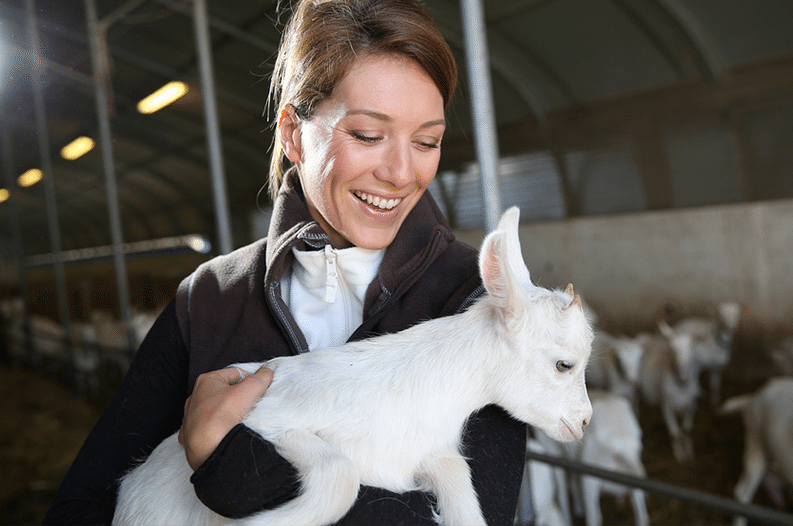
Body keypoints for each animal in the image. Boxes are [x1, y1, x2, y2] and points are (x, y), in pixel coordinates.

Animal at [111, 208, 592, 526]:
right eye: (564, 364)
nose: (585, 421)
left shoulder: (429, 456)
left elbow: (459, 482)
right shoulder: (265, 419)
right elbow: (342, 477)